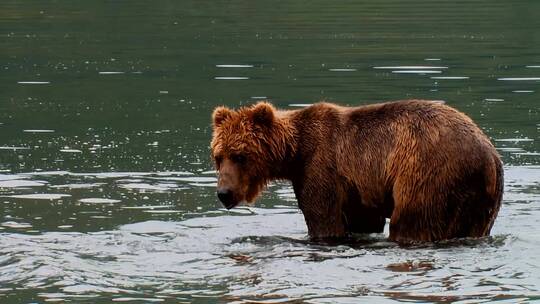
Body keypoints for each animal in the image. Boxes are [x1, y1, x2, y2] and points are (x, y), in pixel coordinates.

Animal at [210, 101, 502, 243]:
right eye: (218, 157)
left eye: (240, 156)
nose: (224, 193)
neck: (294, 154)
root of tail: (490, 156)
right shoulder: (359, 191)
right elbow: (363, 221)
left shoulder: (320, 168)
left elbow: (324, 220)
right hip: (479, 202)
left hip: (428, 173)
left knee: (411, 221)